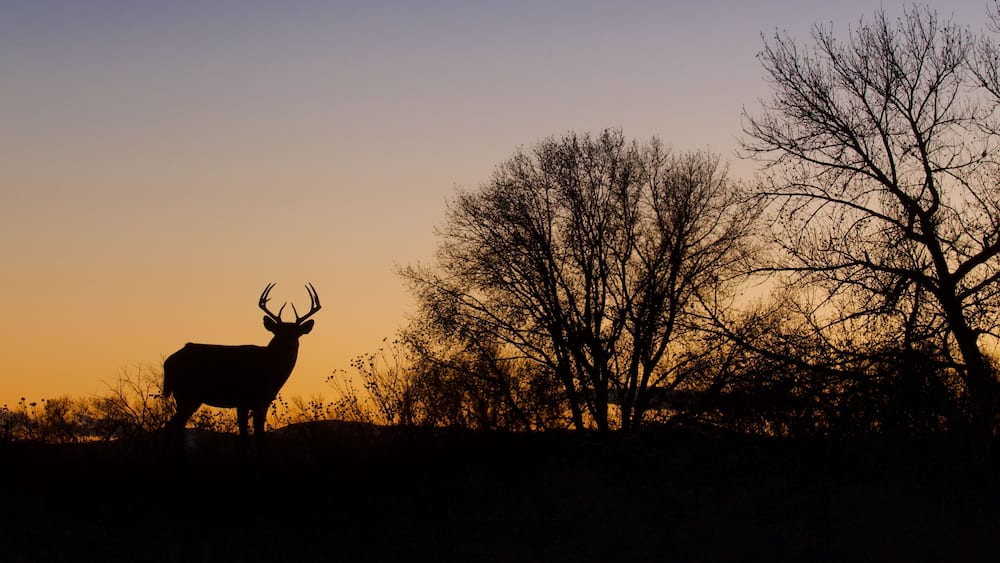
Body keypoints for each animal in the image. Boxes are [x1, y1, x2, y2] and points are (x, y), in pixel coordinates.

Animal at [162, 283, 321, 448]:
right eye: (278, 333)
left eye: (297, 334)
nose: (289, 347)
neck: (268, 372)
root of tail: (167, 362)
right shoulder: (242, 399)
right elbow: (244, 437)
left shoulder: (263, 402)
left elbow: (260, 437)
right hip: (186, 394)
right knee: (171, 426)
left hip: (190, 397)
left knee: (175, 426)